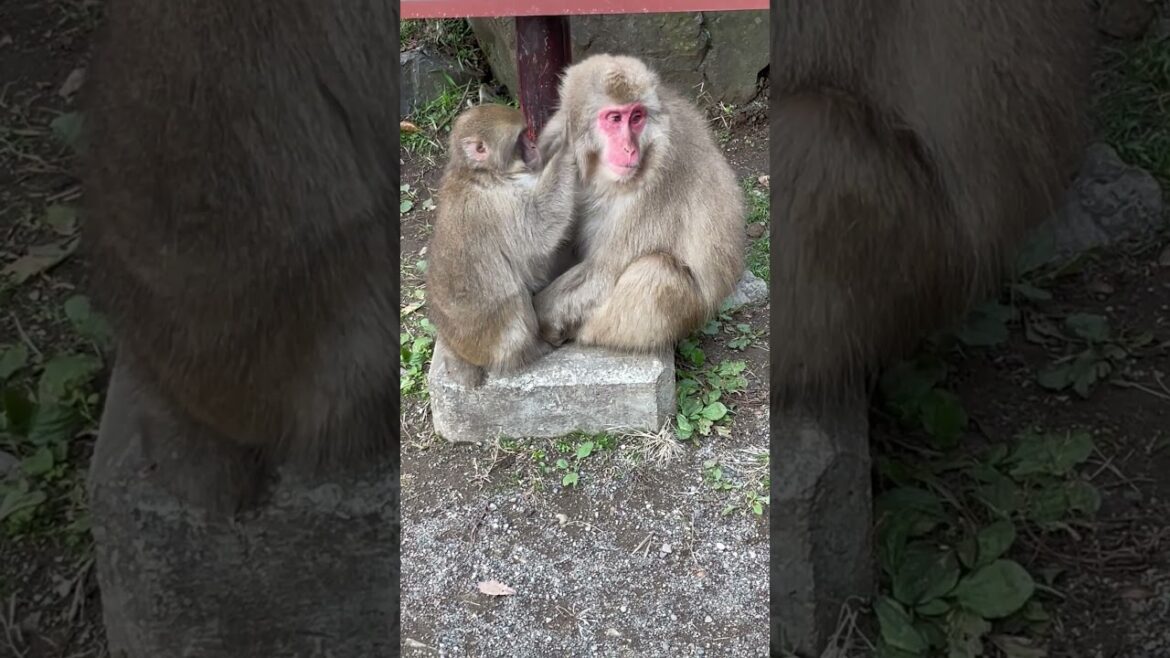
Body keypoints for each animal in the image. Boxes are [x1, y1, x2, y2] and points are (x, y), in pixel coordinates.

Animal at [425, 103, 577, 388]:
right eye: (520, 139)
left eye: (528, 135)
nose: (533, 146)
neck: (482, 174)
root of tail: (459, 350)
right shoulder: (500, 205)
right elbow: (538, 231)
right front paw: (567, 146)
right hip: (490, 340)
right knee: (513, 297)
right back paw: (533, 350)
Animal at [532, 54, 746, 355]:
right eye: (614, 118)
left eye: (636, 117)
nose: (630, 149)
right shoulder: (554, 139)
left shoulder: (658, 185)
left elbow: (603, 272)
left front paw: (537, 316)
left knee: (656, 272)